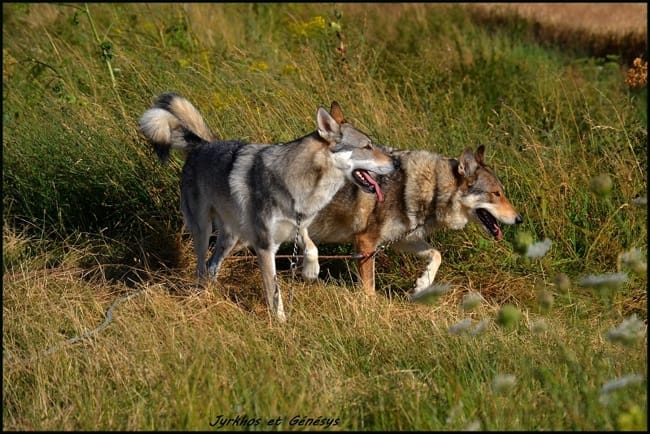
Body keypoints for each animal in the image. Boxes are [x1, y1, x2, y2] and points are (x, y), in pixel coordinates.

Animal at [138, 93, 396, 320]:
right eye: (367, 146)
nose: (395, 161)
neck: (301, 185)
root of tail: (201, 145)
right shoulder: (265, 247)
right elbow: (274, 292)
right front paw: (280, 323)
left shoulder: (299, 225)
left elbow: (312, 248)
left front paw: (310, 272)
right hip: (203, 232)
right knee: (201, 267)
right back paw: (202, 296)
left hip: (232, 239)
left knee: (212, 266)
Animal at [308, 145, 523, 295]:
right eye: (496, 194)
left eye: (502, 193)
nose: (519, 219)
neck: (433, 188)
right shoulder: (366, 243)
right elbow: (369, 290)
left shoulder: (401, 239)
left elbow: (436, 254)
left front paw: (423, 284)